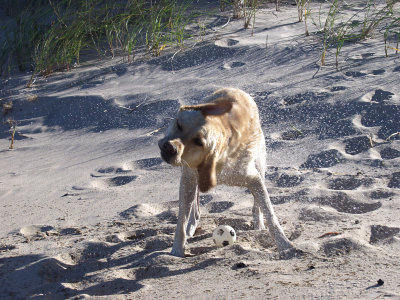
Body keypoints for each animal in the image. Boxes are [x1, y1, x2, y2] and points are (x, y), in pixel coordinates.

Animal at [158, 88, 296, 256]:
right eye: (178, 125)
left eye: (198, 142)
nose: (169, 147)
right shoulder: (188, 177)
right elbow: (181, 220)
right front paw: (177, 249)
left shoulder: (253, 177)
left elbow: (269, 213)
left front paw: (284, 244)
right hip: (190, 178)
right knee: (194, 204)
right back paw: (192, 225)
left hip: (260, 164)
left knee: (257, 203)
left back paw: (258, 224)